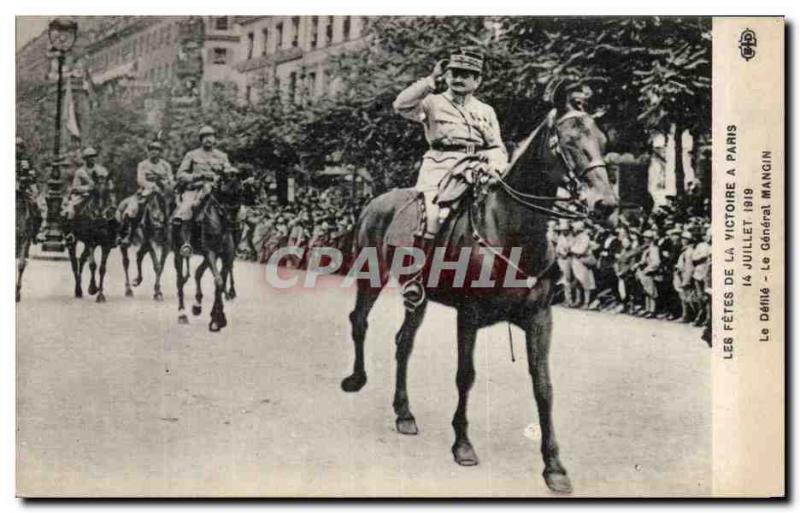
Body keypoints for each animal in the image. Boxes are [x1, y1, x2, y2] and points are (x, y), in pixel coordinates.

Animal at [174, 184, 234, 332]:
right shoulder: (210, 253)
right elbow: (219, 281)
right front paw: (217, 320)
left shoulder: (226, 256)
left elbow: (219, 282)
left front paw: (217, 318)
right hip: (178, 253)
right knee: (179, 281)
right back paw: (182, 314)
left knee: (197, 273)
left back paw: (197, 305)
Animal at [340, 105, 616, 492]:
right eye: (569, 142)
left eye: (603, 141)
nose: (606, 203)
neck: (511, 230)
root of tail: (374, 201)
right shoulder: (468, 316)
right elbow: (465, 375)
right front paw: (463, 444)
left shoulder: (540, 319)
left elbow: (543, 386)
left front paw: (554, 467)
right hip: (372, 276)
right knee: (360, 321)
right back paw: (357, 378)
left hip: (417, 298)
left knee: (403, 342)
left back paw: (404, 413)